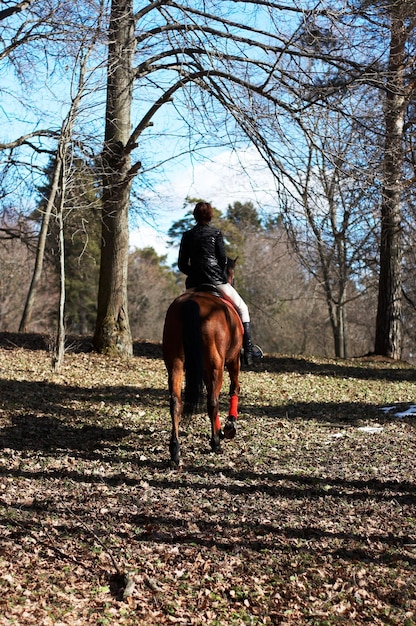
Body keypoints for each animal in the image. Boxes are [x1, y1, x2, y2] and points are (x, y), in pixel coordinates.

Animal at [161, 255, 242, 464]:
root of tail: (191, 302)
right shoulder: (233, 360)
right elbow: (234, 388)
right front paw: (229, 427)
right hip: (216, 365)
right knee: (212, 400)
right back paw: (215, 443)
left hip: (176, 363)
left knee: (175, 402)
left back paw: (175, 450)